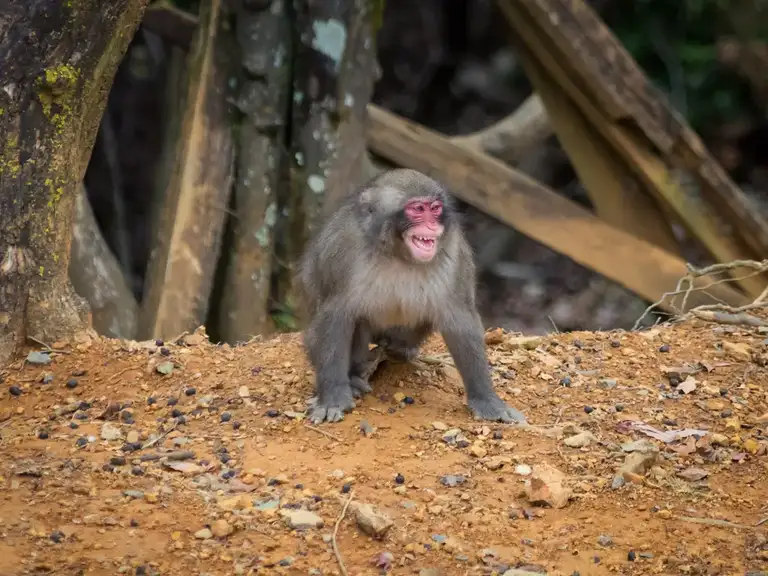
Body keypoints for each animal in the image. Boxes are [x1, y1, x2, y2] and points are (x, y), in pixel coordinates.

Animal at [296, 168, 527, 426]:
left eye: (435, 208)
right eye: (417, 209)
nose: (432, 225)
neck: (398, 253)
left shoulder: (453, 250)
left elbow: (460, 319)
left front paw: (487, 400)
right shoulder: (343, 248)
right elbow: (335, 315)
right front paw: (333, 398)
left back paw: (397, 351)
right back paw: (356, 377)